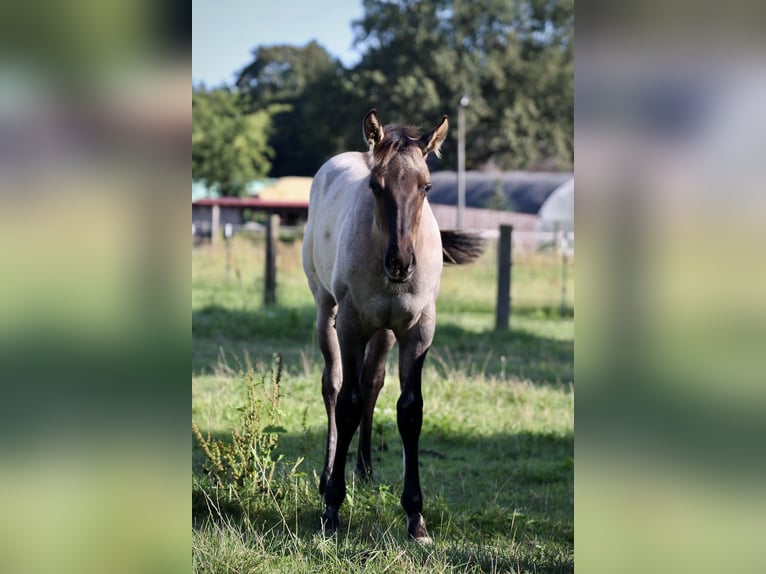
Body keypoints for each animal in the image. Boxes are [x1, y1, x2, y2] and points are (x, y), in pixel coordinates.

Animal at [304, 109, 484, 544]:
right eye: (375, 185)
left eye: (427, 186)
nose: (400, 263)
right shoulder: (351, 325)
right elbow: (347, 403)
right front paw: (332, 507)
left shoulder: (418, 331)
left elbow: (409, 409)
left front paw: (416, 517)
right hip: (326, 311)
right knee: (333, 386)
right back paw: (328, 474)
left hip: (385, 331)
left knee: (373, 381)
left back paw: (365, 468)